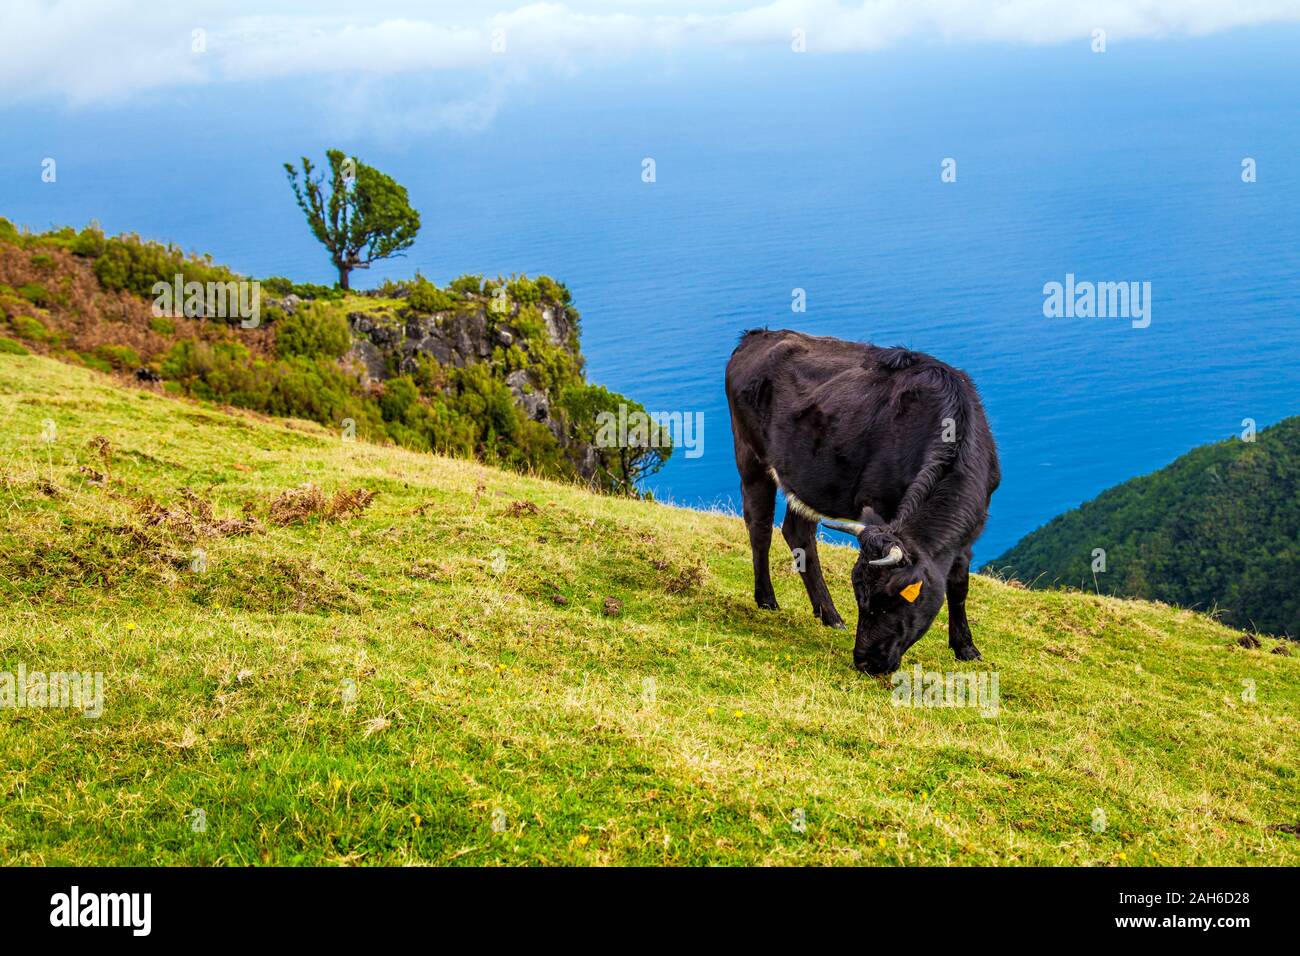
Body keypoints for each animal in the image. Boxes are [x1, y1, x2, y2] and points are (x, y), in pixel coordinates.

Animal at [725, 329, 1000, 675]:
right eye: (861, 598)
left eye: (894, 598)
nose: (865, 661)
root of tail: (757, 336)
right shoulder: (880, 504)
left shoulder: (970, 530)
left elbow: (959, 584)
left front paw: (966, 647)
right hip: (750, 456)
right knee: (759, 526)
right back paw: (766, 600)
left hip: (807, 478)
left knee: (798, 533)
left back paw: (829, 615)